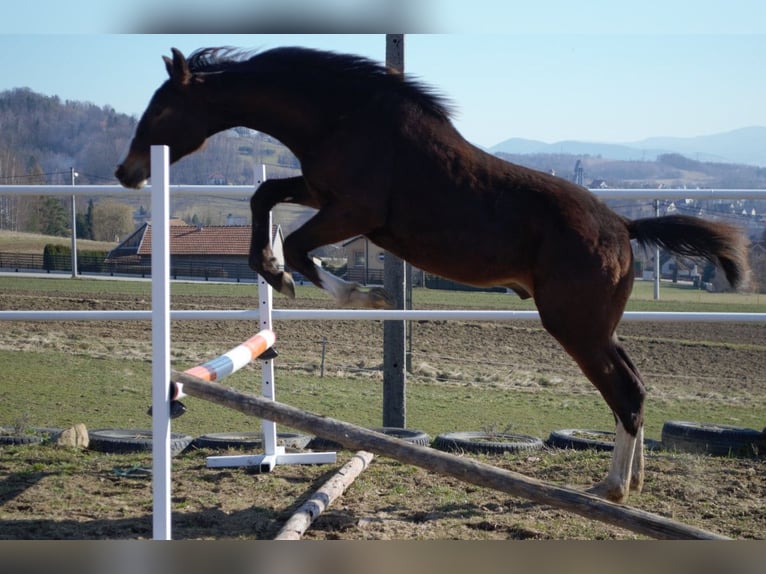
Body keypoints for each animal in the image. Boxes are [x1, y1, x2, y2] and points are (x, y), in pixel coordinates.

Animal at [116, 46, 750, 503]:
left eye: (162, 110)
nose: (126, 172)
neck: (340, 116)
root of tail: (623, 225)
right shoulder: (319, 193)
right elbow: (264, 196)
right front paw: (274, 274)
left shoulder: (354, 211)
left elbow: (296, 242)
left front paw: (357, 293)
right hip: (597, 327)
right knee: (634, 388)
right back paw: (630, 482)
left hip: (576, 326)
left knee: (626, 392)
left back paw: (613, 488)